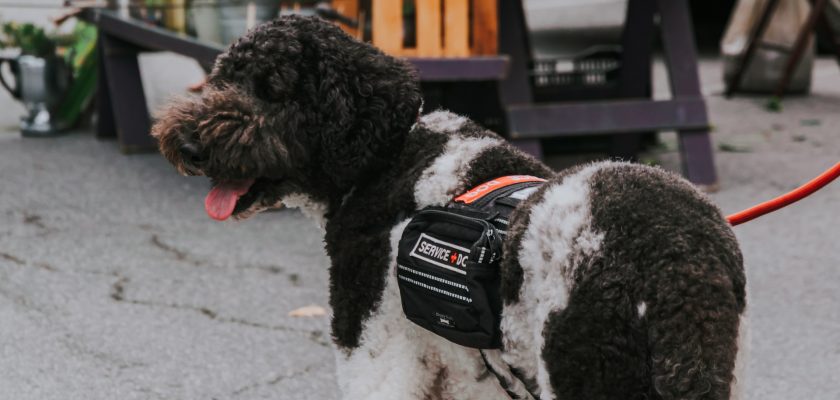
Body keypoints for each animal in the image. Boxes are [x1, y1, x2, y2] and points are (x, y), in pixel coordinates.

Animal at [154, 15, 752, 400]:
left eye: (273, 89)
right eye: (222, 77)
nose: (186, 144)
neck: (388, 156)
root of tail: (681, 265)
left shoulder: (375, 347)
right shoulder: (469, 370)